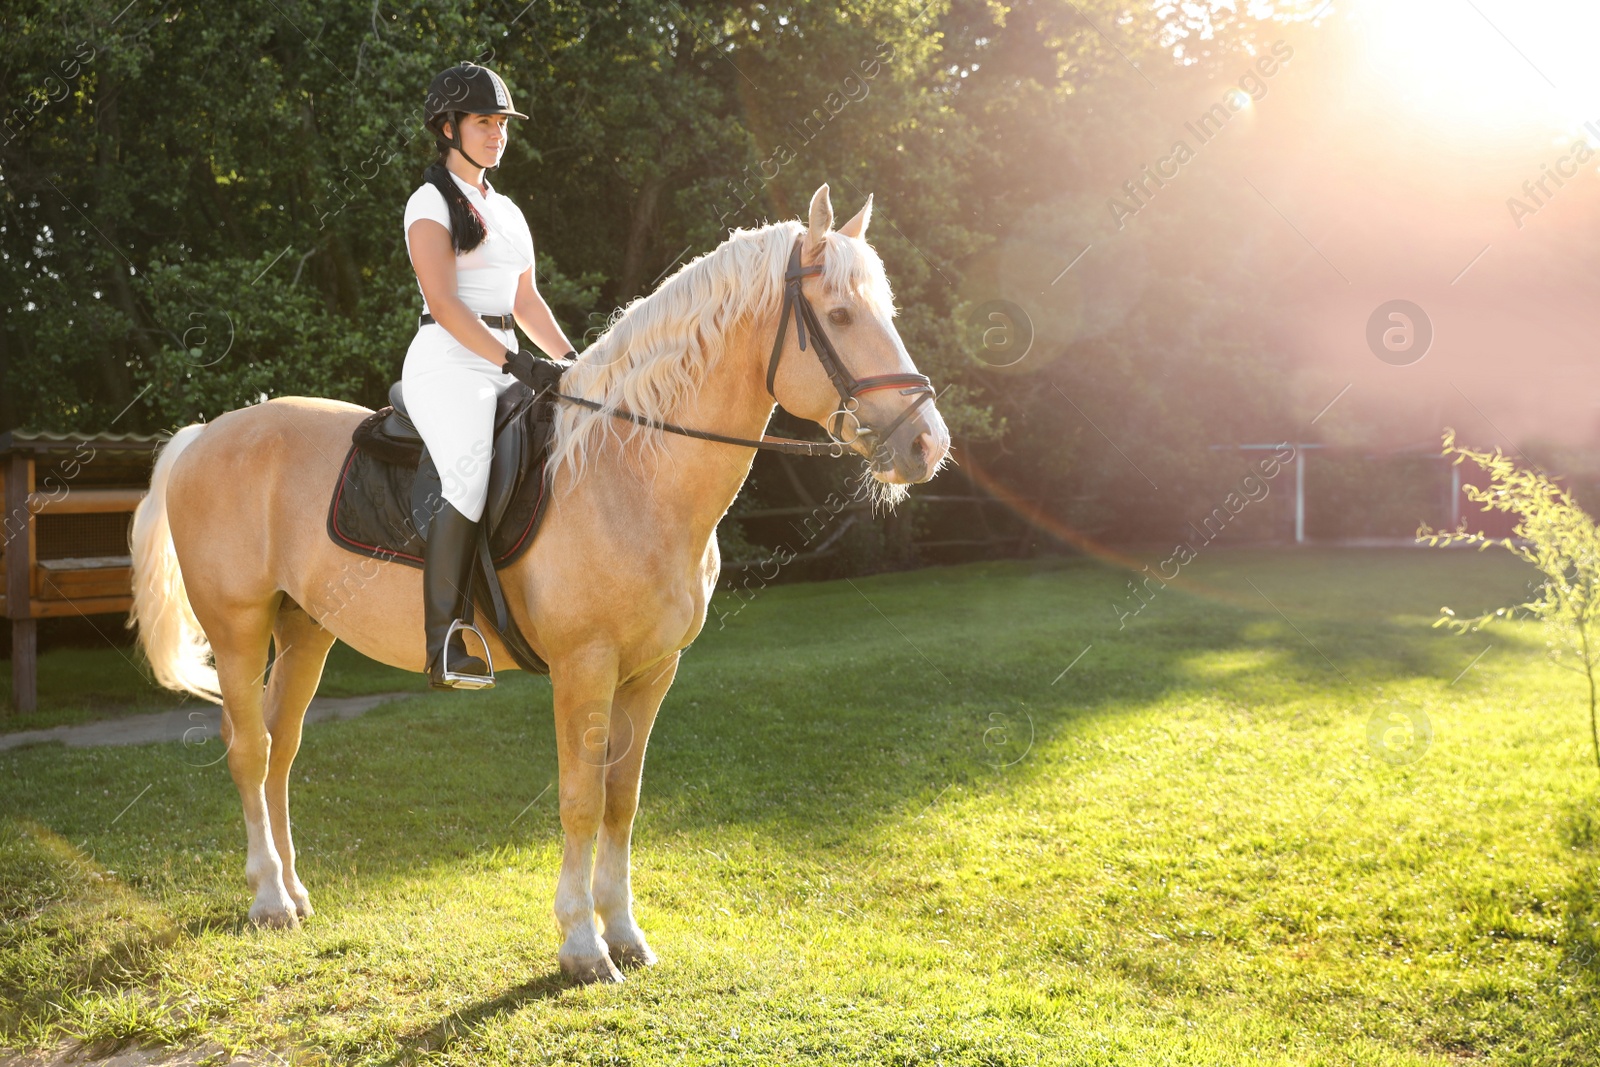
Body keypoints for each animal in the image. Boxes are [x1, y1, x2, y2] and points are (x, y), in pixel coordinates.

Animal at [128, 183, 947, 985]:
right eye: (839, 315)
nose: (927, 443)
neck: (633, 471)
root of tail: (205, 434)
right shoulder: (586, 667)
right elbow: (581, 800)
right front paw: (582, 945)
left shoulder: (652, 671)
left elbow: (622, 800)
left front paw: (626, 933)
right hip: (239, 627)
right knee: (247, 748)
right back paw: (268, 897)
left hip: (304, 630)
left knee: (281, 744)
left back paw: (295, 893)